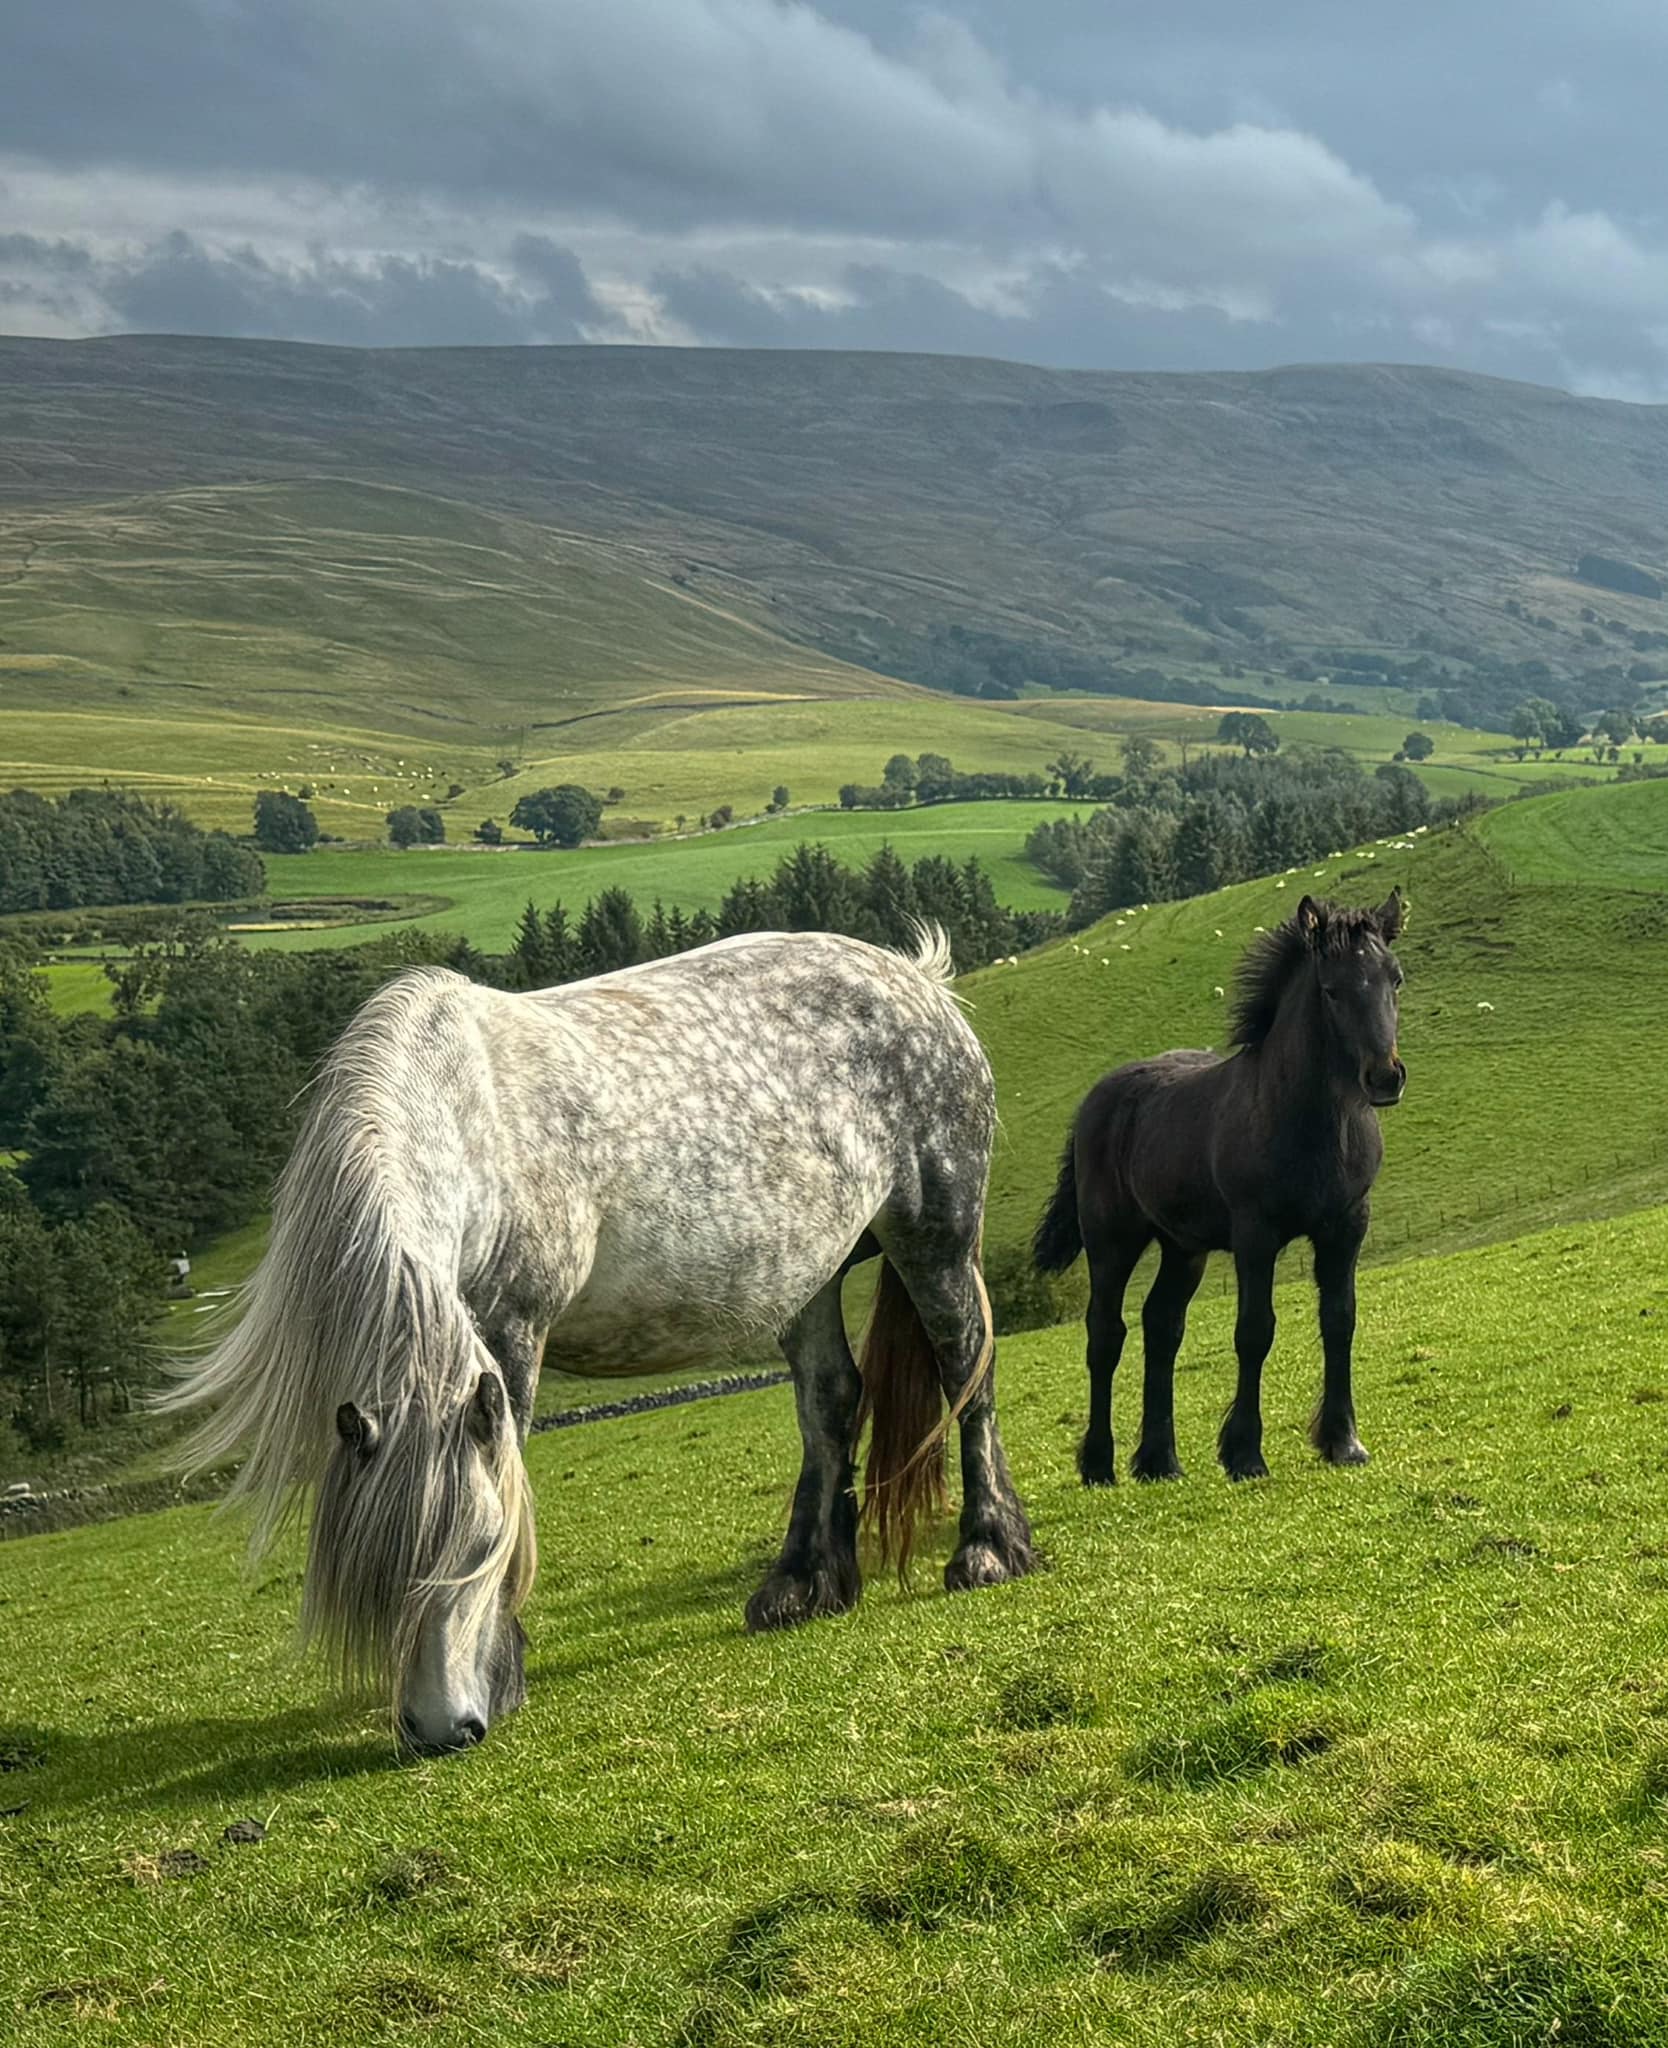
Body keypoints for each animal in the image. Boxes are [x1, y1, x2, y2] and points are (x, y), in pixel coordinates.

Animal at [164, 927, 1035, 1754]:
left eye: (485, 1544)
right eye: (375, 1571)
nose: (443, 1729)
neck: (467, 1118)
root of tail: (917, 977)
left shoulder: (511, 1328)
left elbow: (509, 1465)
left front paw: (504, 1667)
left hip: (936, 1241)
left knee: (967, 1369)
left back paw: (988, 1549)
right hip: (808, 1273)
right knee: (831, 1403)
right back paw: (802, 1585)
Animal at [1033, 890, 1406, 1487]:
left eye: (1395, 978)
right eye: (1332, 990)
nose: (1385, 1077)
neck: (1309, 1120)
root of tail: (1095, 1100)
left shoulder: (1347, 1226)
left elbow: (1340, 1319)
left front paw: (1344, 1441)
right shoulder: (1256, 1235)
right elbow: (1254, 1330)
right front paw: (1245, 1453)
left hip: (1183, 1248)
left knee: (1162, 1325)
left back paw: (1159, 1461)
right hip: (1111, 1241)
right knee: (1105, 1334)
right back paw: (1099, 1464)